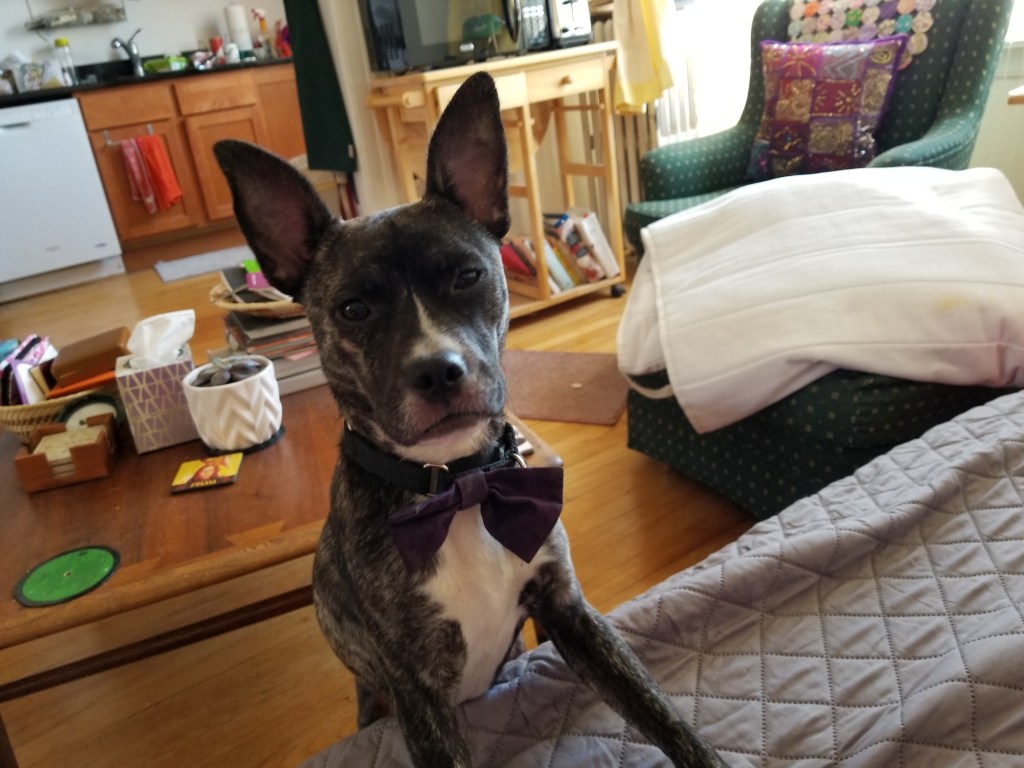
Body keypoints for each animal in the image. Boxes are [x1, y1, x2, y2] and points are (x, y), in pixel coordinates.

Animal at [215, 72, 722, 768]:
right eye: (353, 308)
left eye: (469, 275)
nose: (439, 372)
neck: (457, 487)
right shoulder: (417, 694)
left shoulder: (570, 614)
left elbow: (662, 712)